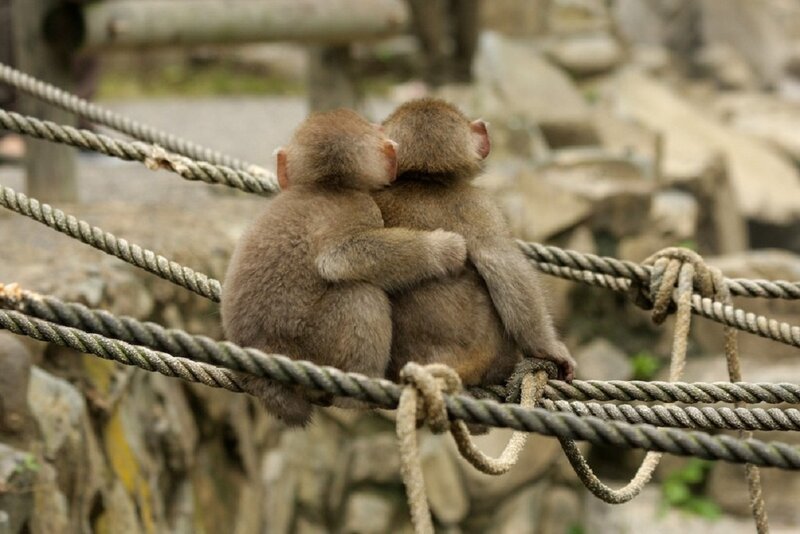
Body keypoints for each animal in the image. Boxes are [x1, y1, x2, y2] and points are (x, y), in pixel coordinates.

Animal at [221, 108, 468, 427]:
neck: (328, 187)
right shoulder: (364, 207)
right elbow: (340, 257)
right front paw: (442, 249)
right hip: (313, 345)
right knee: (360, 295)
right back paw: (357, 395)